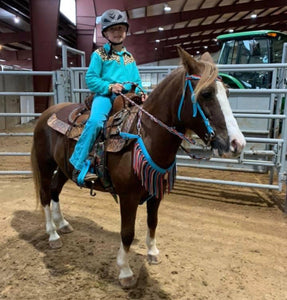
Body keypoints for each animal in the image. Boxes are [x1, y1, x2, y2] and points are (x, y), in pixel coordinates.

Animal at [31, 47, 245, 288]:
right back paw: (53, 235)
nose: (237, 144)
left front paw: (152, 252)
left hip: (64, 168)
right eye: (206, 93)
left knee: (55, 191)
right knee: (45, 195)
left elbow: (153, 222)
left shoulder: (156, 193)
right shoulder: (128, 197)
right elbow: (127, 232)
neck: (144, 137)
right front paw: (125, 271)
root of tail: (46, 114)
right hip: (45, 165)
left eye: (227, 92)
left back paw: (63, 224)